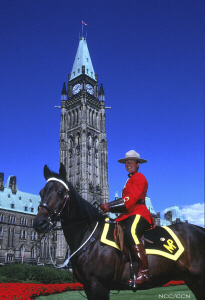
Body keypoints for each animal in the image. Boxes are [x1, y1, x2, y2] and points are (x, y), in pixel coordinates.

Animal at [34, 164, 205, 300]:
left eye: (60, 192)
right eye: (41, 192)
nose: (39, 222)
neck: (89, 237)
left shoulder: (98, 285)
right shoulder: (88, 287)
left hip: (198, 278)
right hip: (191, 279)